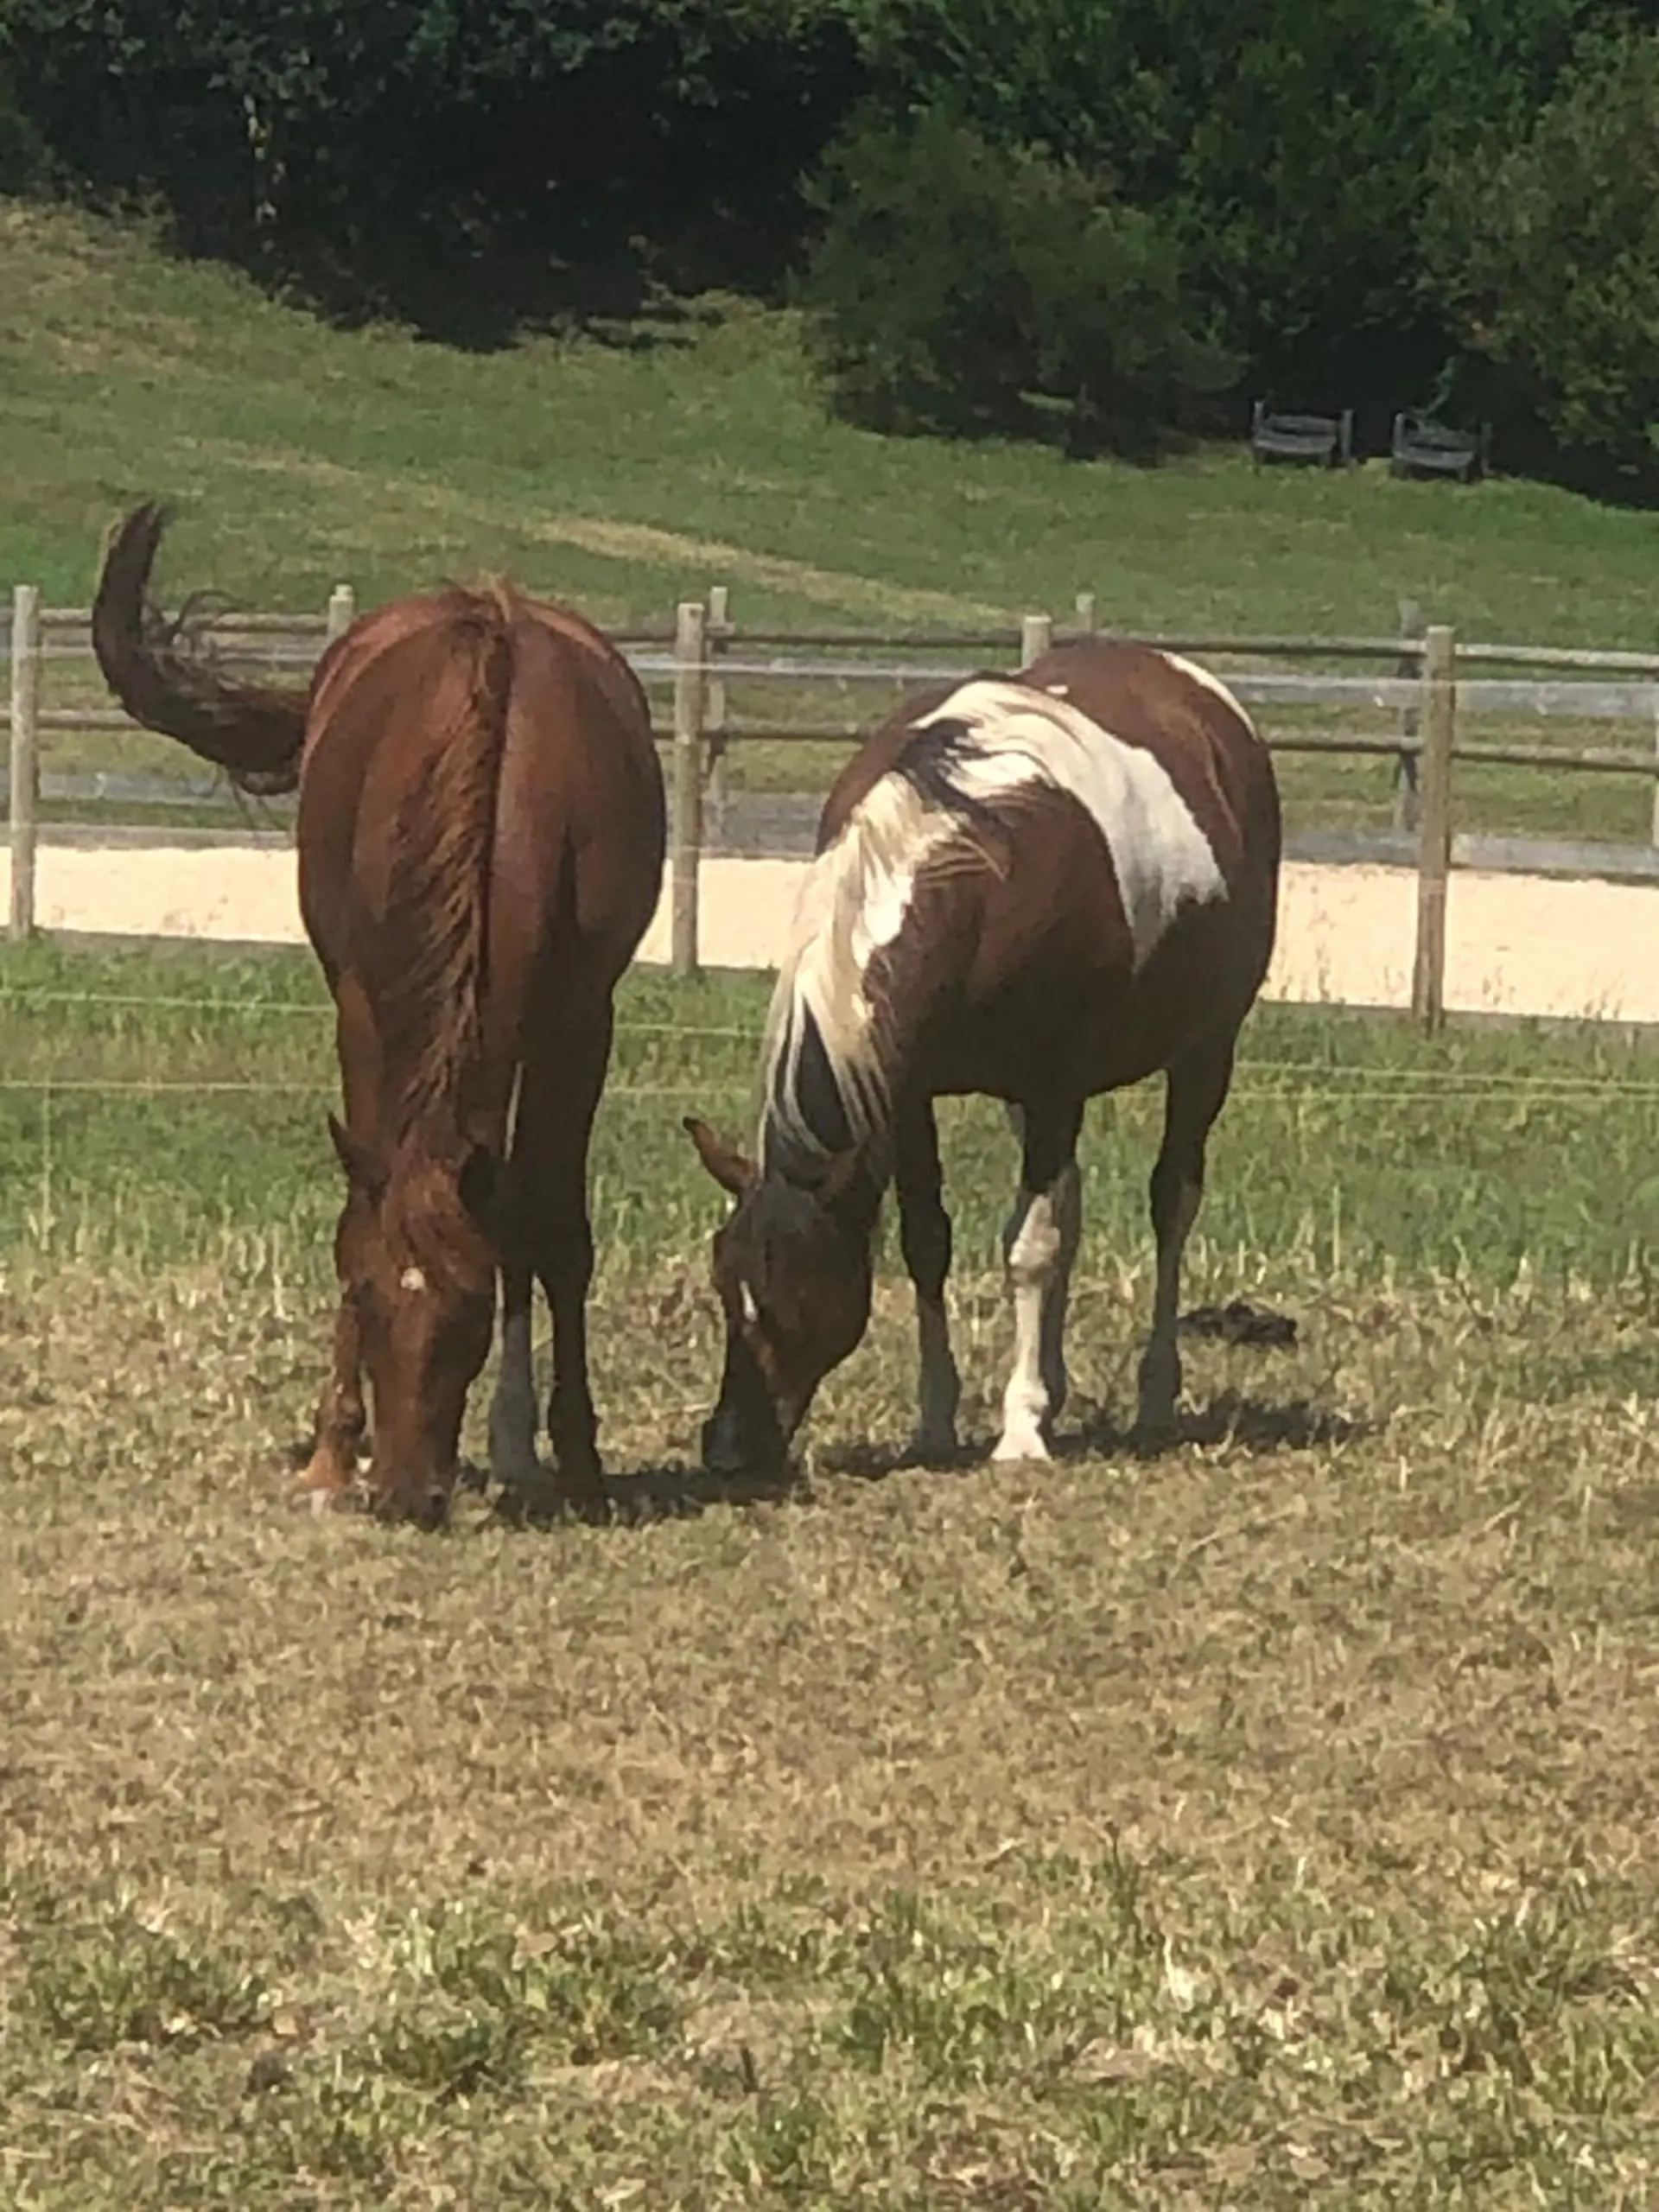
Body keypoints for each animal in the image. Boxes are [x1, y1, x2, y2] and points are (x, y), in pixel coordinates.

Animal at [92, 503, 666, 1524]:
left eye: (468, 1313)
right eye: (366, 1298)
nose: (405, 1491)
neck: (499, 787)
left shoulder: (579, 1021)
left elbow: (553, 1231)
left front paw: (579, 1460)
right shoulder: (360, 1005)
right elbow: (362, 1209)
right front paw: (331, 1452)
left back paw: (518, 1447)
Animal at [683, 639, 1281, 1476]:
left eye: (788, 1295)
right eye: (722, 1279)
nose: (728, 1447)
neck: (978, 866)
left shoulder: (1055, 1084)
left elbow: (1031, 1247)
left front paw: (1022, 1428)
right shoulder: (908, 1096)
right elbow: (929, 1240)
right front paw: (937, 1420)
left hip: (1205, 1049)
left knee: (1172, 1201)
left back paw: (1154, 1398)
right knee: (1072, 1204)